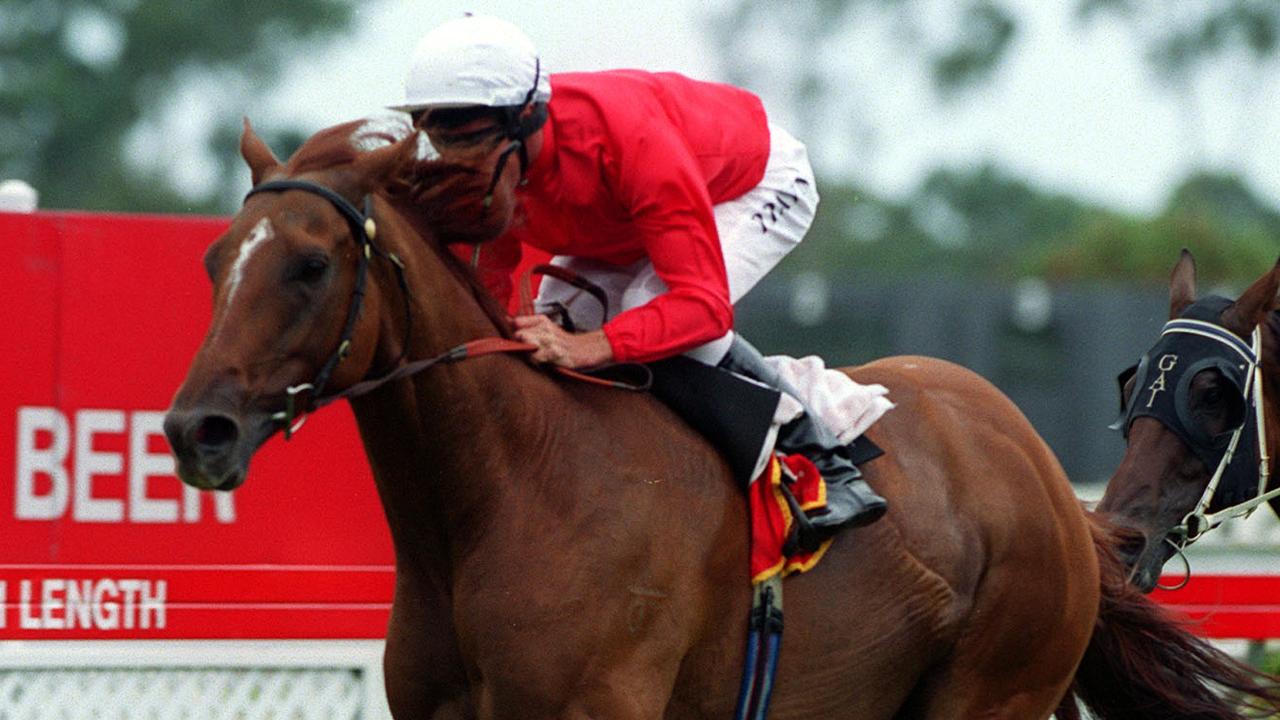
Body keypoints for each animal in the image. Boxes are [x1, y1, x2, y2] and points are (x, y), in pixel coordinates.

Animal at [165, 120, 1274, 712]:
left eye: (311, 266)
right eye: (215, 260)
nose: (195, 431)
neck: (507, 489)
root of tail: (1041, 471)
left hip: (994, 688)